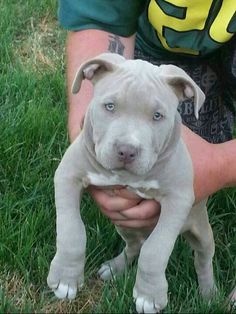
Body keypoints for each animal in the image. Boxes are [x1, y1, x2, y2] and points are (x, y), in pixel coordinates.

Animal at [47, 53, 218, 312]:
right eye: (110, 106)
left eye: (157, 116)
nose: (127, 151)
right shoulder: (68, 175)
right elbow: (71, 229)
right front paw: (66, 278)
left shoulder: (178, 199)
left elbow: (156, 249)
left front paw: (149, 295)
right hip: (125, 224)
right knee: (134, 245)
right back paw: (114, 268)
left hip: (201, 230)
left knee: (203, 258)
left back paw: (209, 294)